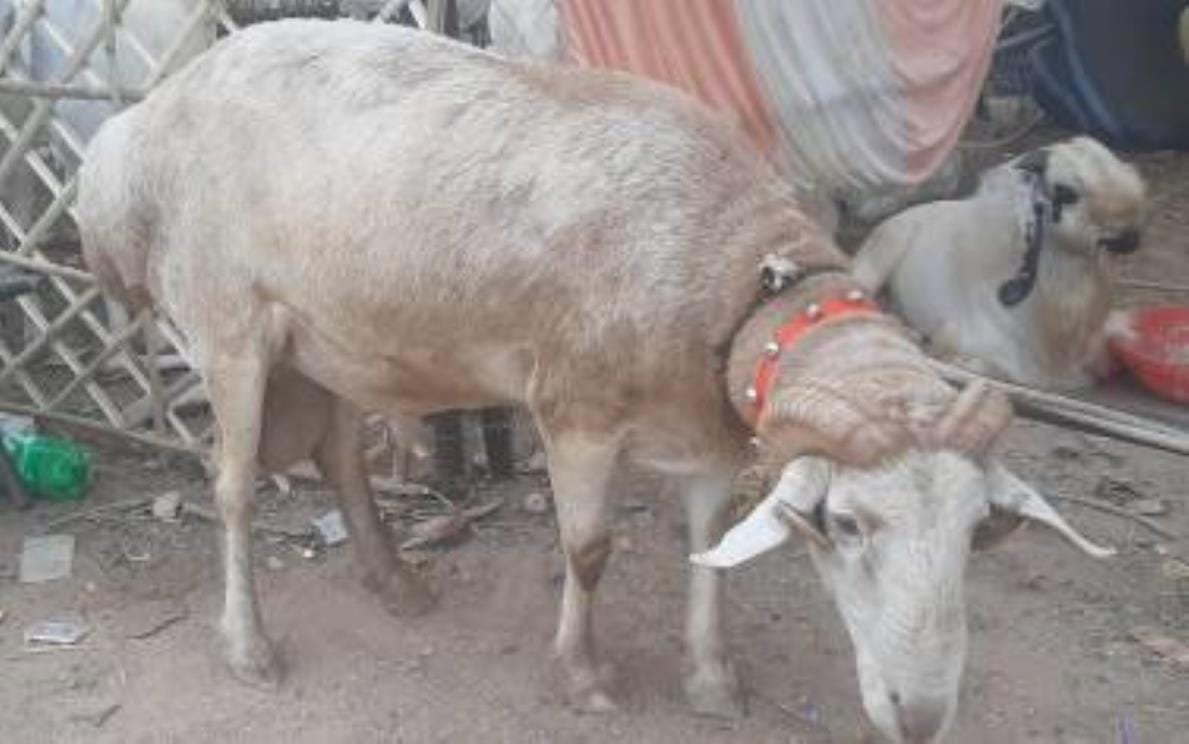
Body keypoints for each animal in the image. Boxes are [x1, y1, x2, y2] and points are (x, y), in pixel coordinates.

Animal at [77, 20, 1112, 743]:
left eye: (978, 533)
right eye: (848, 525)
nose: (920, 715)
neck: (736, 274)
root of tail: (132, 131)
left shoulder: (708, 440)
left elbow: (707, 550)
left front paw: (711, 681)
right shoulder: (571, 411)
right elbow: (588, 550)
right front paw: (581, 677)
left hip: (327, 339)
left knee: (338, 454)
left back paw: (395, 582)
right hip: (231, 328)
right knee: (233, 490)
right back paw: (249, 646)